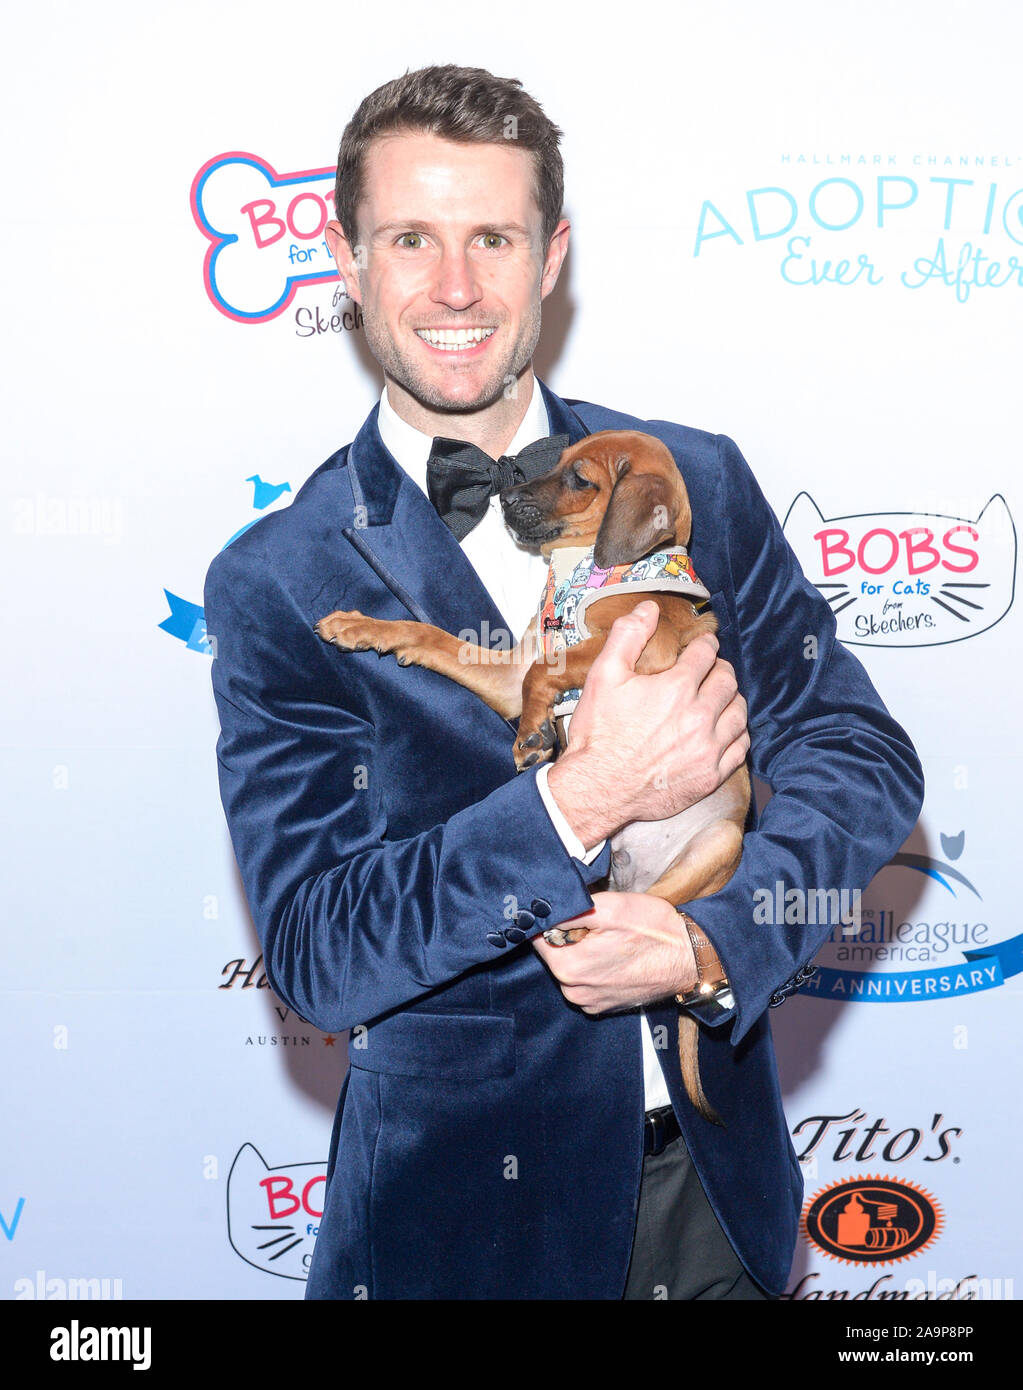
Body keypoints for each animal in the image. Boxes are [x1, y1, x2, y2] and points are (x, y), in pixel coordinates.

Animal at [318, 428, 750, 1123]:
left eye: (580, 479)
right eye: (555, 461)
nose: (506, 497)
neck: (582, 572)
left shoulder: (645, 647)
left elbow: (547, 671)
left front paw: (532, 736)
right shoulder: (505, 671)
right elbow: (438, 638)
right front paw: (363, 627)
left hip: (719, 843)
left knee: (651, 906)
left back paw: (578, 921)